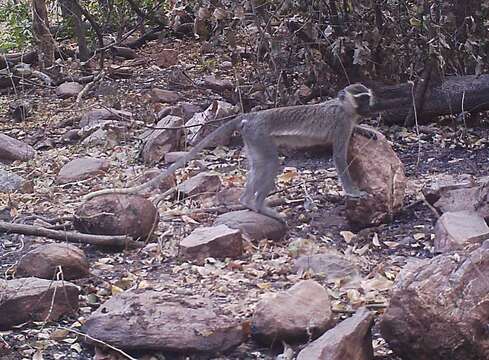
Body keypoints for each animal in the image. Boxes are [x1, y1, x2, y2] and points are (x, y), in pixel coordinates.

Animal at [85, 83, 378, 222]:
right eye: (361, 98)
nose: (369, 107)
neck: (345, 109)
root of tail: (250, 117)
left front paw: (367, 129)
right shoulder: (340, 124)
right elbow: (338, 158)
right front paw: (353, 192)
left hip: (253, 139)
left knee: (259, 165)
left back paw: (248, 202)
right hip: (259, 135)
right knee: (270, 163)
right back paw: (257, 205)